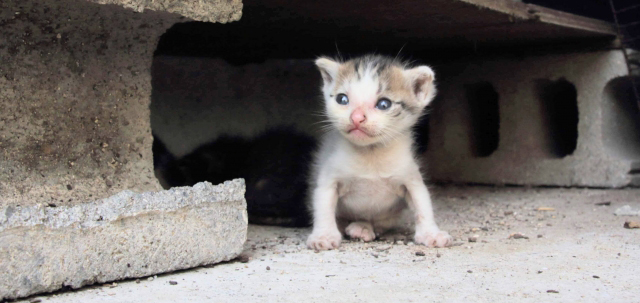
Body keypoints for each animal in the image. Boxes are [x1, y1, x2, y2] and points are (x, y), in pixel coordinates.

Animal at [308, 54, 452, 252]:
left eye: (384, 104)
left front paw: (431, 233)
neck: (371, 154)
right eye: (342, 99)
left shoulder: (410, 176)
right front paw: (324, 235)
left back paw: (363, 227)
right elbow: (324, 205)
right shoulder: (329, 177)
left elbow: (422, 203)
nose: (356, 117)